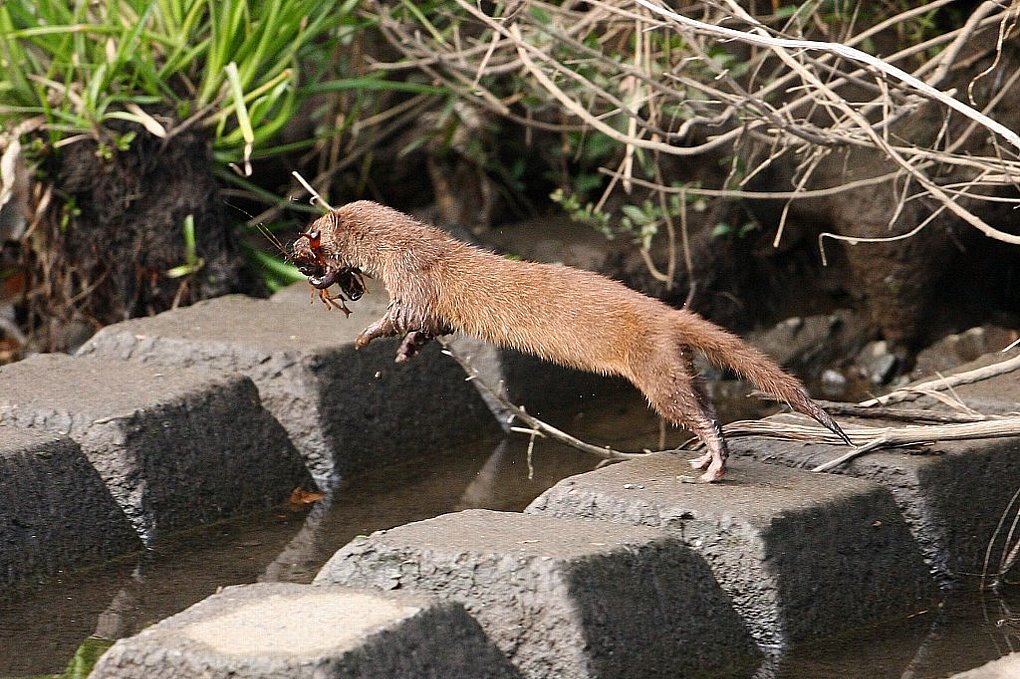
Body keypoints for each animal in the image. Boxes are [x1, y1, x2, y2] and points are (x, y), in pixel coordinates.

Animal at [291, 198, 848, 479]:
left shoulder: (415, 282)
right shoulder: (435, 305)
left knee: (696, 414)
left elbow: (403, 316)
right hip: (679, 361)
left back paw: (711, 464)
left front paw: (367, 336)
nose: (295, 250)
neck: (413, 250)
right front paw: (406, 351)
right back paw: (701, 456)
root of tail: (668, 313)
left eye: (313, 233)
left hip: (654, 368)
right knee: (705, 404)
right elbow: (432, 327)